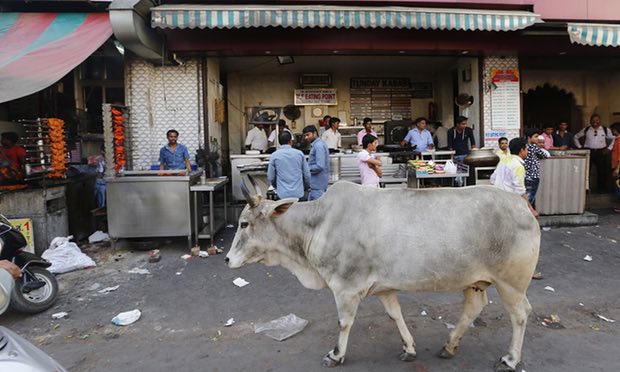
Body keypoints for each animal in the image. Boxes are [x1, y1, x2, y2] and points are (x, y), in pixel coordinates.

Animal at [226, 176, 536, 370]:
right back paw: (449, 346)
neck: (318, 224)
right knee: (474, 306)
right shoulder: (384, 289)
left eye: (244, 224)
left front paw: (336, 355)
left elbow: (344, 323)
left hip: (511, 284)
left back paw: (510, 359)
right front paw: (409, 348)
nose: (228, 259)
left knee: (520, 314)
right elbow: (394, 315)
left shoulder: (346, 287)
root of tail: (523, 206)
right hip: (476, 281)